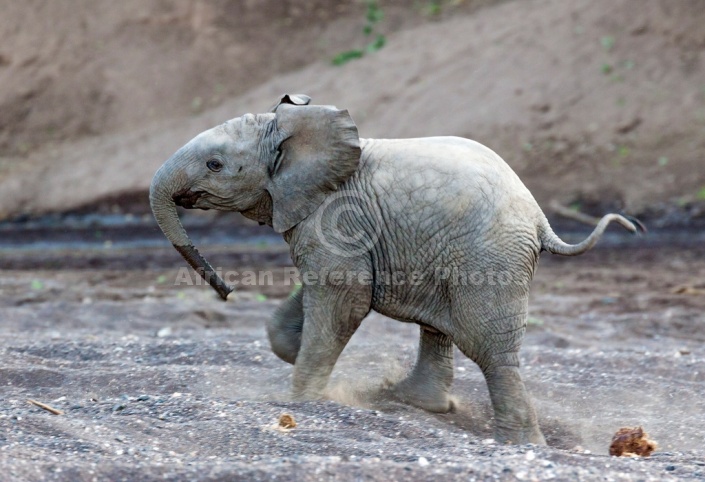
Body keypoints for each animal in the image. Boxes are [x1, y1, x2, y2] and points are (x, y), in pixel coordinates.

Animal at [150, 94, 644, 444]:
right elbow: (323, 289)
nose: (227, 291)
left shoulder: (336, 217)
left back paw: (521, 444)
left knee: (489, 347)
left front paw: (302, 401)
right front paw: (294, 352)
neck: (294, 131)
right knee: (441, 328)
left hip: (491, 257)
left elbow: (344, 296)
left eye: (215, 165)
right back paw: (415, 403)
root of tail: (540, 217)